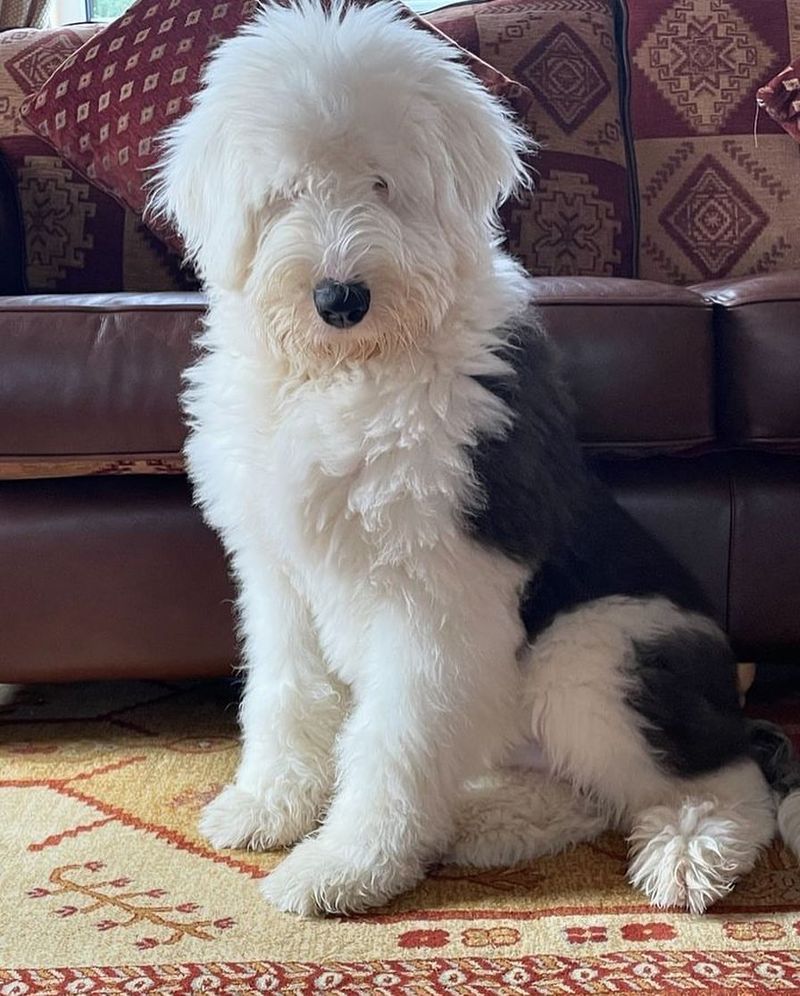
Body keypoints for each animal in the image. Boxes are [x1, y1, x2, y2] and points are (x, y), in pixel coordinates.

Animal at [152, 0, 800, 920]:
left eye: (384, 184)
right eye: (287, 192)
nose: (339, 298)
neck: (347, 376)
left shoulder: (436, 592)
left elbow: (393, 740)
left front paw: (345, 866)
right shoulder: (277, 572)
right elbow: (283, 692)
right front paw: (268, 805)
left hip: (597, 650)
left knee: (726, 775)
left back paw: (688, 853)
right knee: (584, 794)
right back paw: (487, 825)